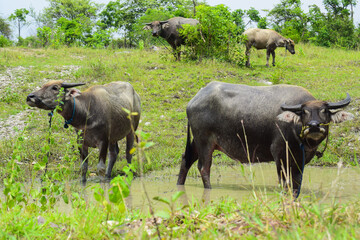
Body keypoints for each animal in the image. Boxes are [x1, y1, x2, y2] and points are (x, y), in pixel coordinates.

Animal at [178, 81, 354, 198]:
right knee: (204, 168)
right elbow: (284, 181)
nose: (314, 126)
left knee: (186, 159)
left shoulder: (300, 160)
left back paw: (179, 184)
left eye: (324, 111)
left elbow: (296, 182)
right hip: (204, 141)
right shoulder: (279, 154)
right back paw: (209, 189)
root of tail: (195, 99)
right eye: (304, 112)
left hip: (198, 141)